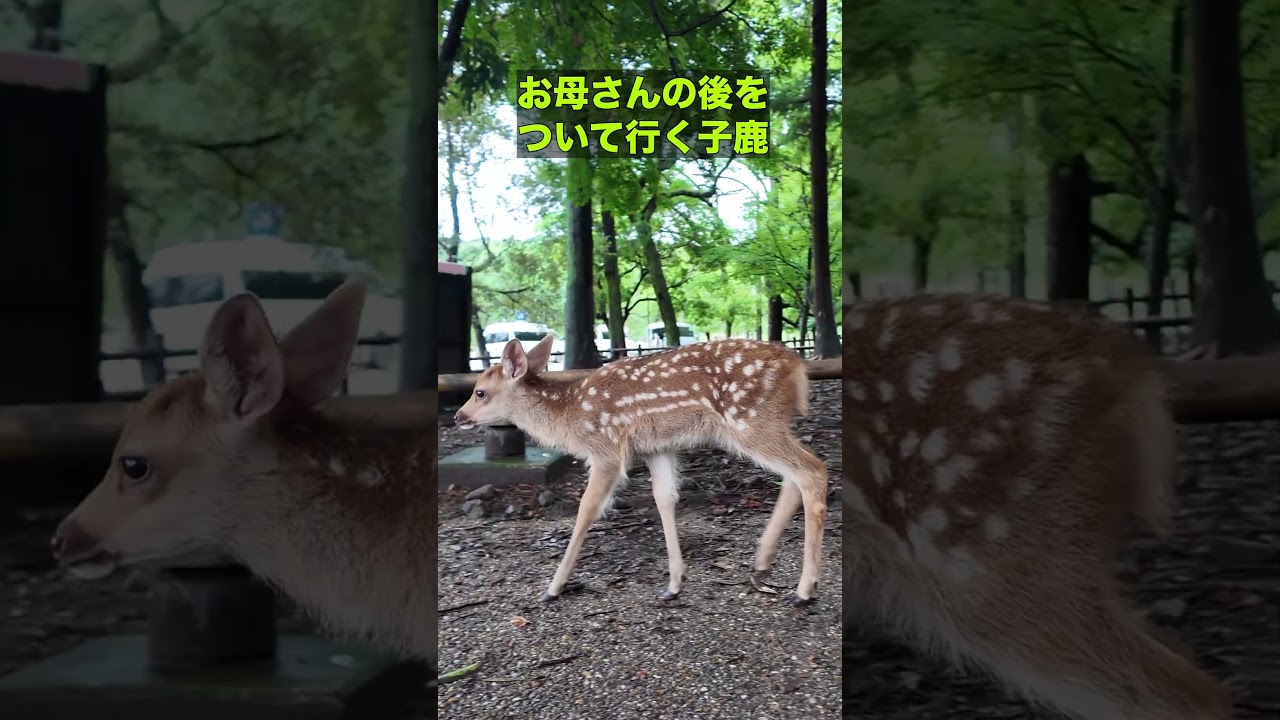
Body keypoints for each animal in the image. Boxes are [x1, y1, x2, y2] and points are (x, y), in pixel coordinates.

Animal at [454, 334, 829, 606]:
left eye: (480, 392)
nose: (459, 416)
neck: (571, 418)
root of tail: (797, 367)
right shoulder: (656, 448)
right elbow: (664, 499)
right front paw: (674, 584)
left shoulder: (606, 448)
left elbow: (587, 509)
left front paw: (552, 588)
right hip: (765, 423)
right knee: (797, 473)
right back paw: (763, 561)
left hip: (749, 420)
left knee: (813, 469)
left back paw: (804, 589)